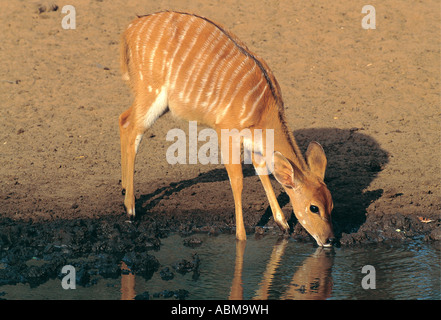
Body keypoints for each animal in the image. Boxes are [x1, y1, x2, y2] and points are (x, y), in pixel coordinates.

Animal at [117, 10, 334, 245]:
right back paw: (130, 209)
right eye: (314, 208)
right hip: (151, 93)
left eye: (331, 204)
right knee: (132, 130)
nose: (330, 240)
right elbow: (237, 181)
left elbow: (262, 170)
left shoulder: (254, 141)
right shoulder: (227, 132)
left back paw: (124, 190)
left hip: (157, 102)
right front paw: (241, 236)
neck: (263, 106)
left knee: (123, 119)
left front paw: (283, 224)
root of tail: (130, 28)